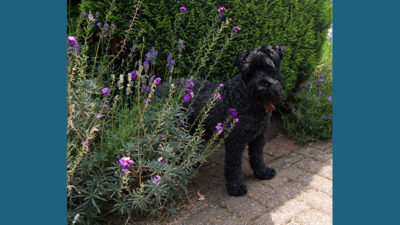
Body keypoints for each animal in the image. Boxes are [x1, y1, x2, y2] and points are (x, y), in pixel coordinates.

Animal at [159, 45, 284, 195]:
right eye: (249, 71)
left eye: (268, 67)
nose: (261, 87)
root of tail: (160, 88)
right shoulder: (235, 140)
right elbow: (233, 165)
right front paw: (235, 187)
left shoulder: (259, 136)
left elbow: (257, 156)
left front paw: (262, 172)